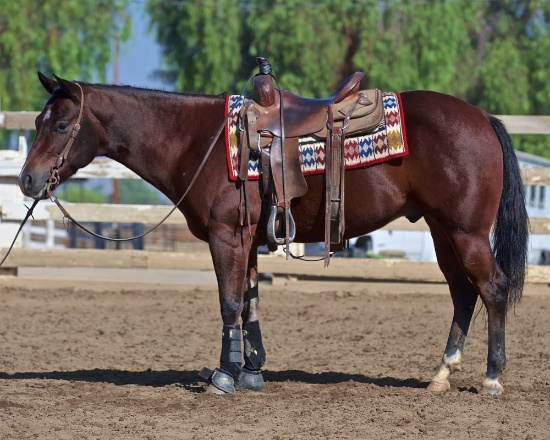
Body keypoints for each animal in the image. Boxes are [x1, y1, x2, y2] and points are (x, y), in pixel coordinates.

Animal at [19, 72, 532, 396]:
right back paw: (441, 374)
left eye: (61, 124)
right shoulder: (247, 240)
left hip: (466, 232)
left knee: (493, 288)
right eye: (38, 122)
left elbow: (229, 302)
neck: (198, 140)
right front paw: (252, 371)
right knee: (463, 293)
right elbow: (250, 301)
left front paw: (225, 376)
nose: (27, 179)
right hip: (444, 232)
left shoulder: (227, 237)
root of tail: (483, 119)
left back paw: (492, 378)